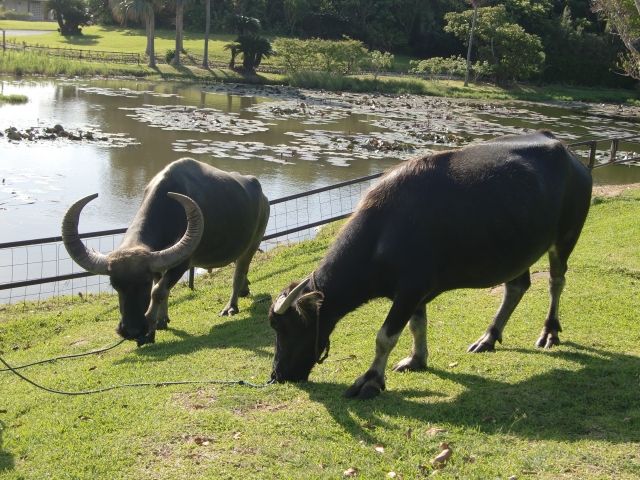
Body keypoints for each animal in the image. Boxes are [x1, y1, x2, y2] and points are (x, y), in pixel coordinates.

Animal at [62, 159, 268, 346]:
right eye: (115, 285)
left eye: (143, 283)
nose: (131, 330)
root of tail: (262, 196)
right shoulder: (160, 262)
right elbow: (163, 288)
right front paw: (162, 321)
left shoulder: (182, 263)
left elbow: (158, 291)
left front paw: (149, 331)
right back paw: (245, 290)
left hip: (252, 243)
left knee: (238, 273)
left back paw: (230, 307)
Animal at [268, 130, 592, 398]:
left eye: (286, 328)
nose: (278, 375)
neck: (385, 232)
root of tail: (569, 154)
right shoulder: (416, 293)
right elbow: (417, 325)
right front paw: (417, 359)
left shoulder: (409, 291)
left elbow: (385, 337)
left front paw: (371, 380)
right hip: (518, 250)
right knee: (516, 286)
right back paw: (488, 338)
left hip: (566, 236)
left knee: (556, 281)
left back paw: (549, 332)